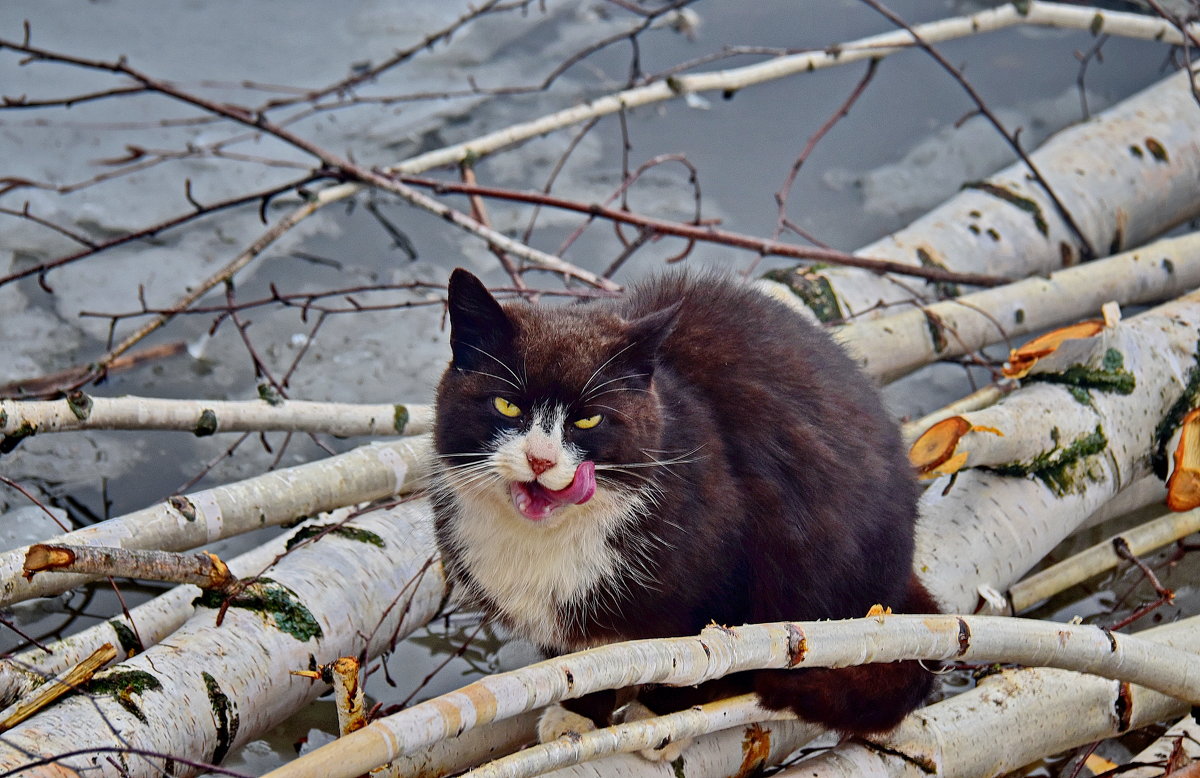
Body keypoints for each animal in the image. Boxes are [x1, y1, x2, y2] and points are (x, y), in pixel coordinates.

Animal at [429, 268, 936, 749]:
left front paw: (660, 717)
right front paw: (578, 712)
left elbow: (699, 658)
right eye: (505, 405)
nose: (541, 460)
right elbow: (587, 661)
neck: (546, 538)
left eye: (588, 419)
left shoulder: (729, 572)